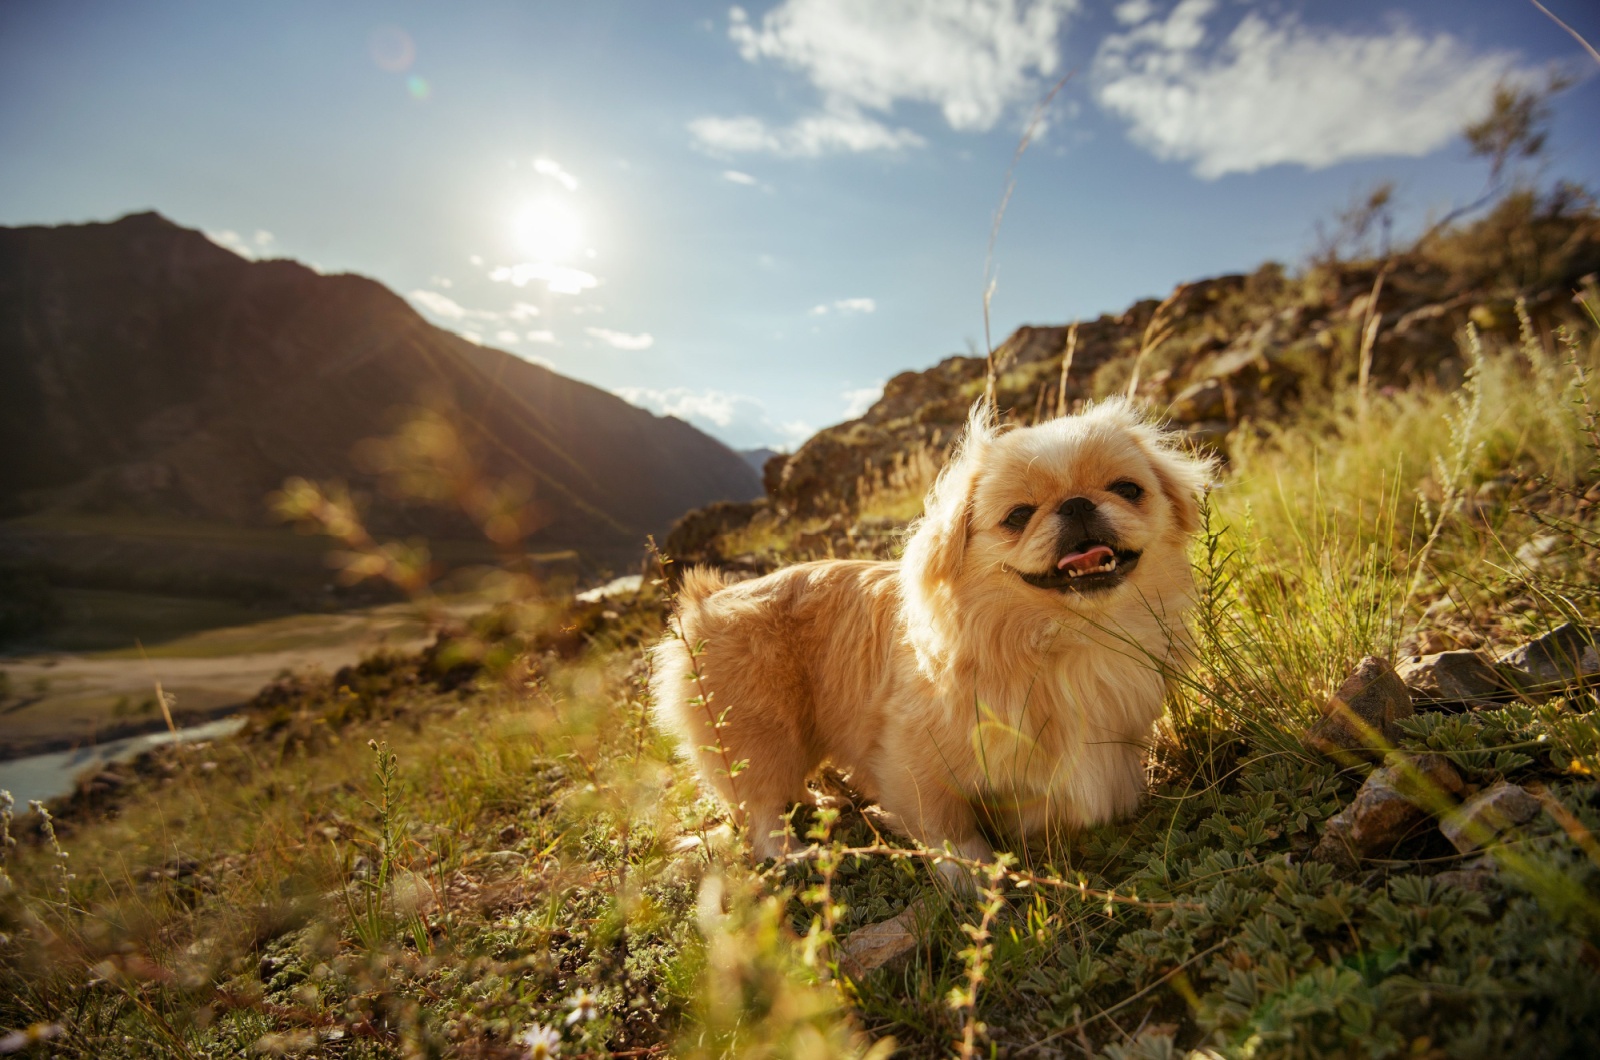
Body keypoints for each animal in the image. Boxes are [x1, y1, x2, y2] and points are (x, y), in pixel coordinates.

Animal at [656, 393, 1203, 877]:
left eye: (1128, 489)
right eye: (1018, 516)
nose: (1076, 504)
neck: (1064, 639)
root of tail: (703, 604)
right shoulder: (913, 756)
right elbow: (948, 827)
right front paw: (972, 875)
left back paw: (824, 800)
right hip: (759, 735)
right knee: (761, 810)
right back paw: (794, 852)